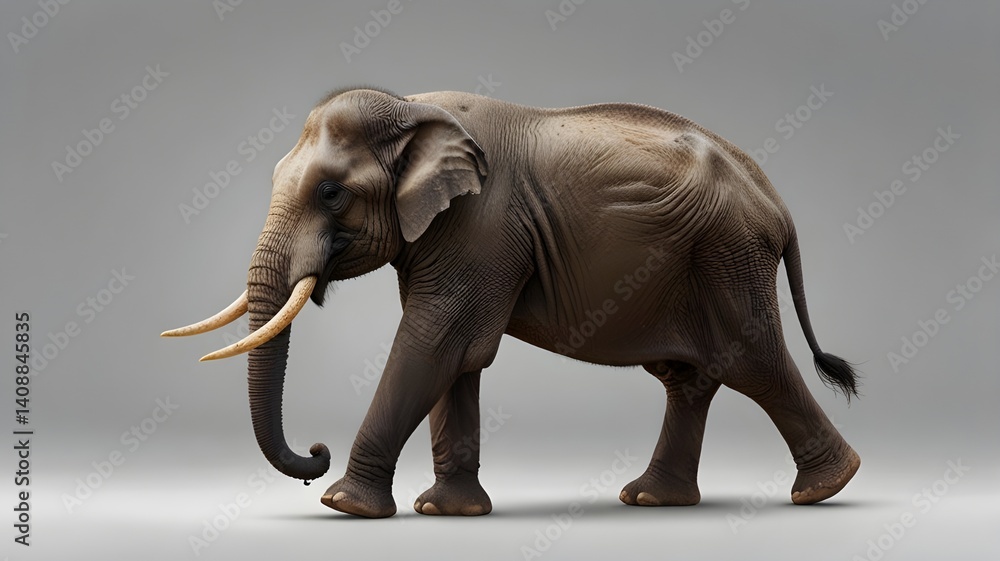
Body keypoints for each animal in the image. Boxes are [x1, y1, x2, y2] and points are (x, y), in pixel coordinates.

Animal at [163, 87, 861, 518]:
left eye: (331, 192)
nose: (314, 455)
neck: (410, 110)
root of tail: (775, 201)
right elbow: (455, 356)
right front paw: (446, 513)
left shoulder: (480, 225)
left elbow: (433, 340)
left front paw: (344, 507)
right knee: (688, 378)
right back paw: (650, 500)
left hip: (727, 255)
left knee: (752, 362)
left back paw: (825, 489)